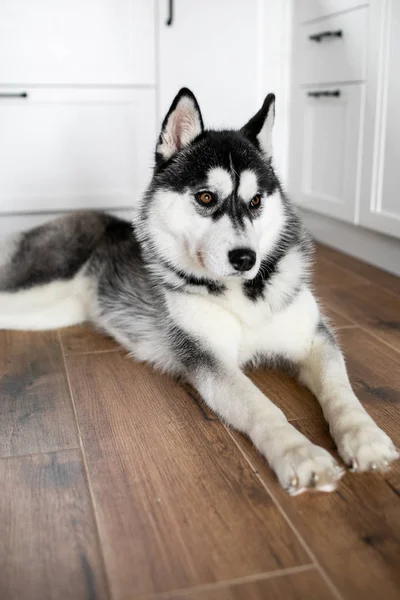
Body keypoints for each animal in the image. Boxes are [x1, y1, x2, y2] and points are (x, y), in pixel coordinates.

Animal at [0, 88, 396, 492]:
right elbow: (263, 406)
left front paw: (364, 437)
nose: (245, 258)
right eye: (206, 197)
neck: (245, 294)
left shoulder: (315, 341)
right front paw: (299, 454)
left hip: (52, 312)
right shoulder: (210, 359)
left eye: (256, 201)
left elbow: (341, 391)